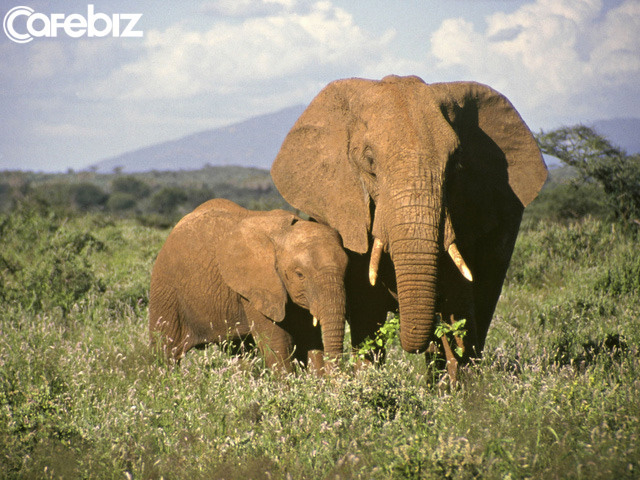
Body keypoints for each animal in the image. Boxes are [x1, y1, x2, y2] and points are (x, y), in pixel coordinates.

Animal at [148, 197, 348, 374]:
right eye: (300, 275)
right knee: (165, 351)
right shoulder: (256, 286)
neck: (283, 233)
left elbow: (309, 337)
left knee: (239, 351)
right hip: (166, 290)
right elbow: (277, 341)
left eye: (346, 269)